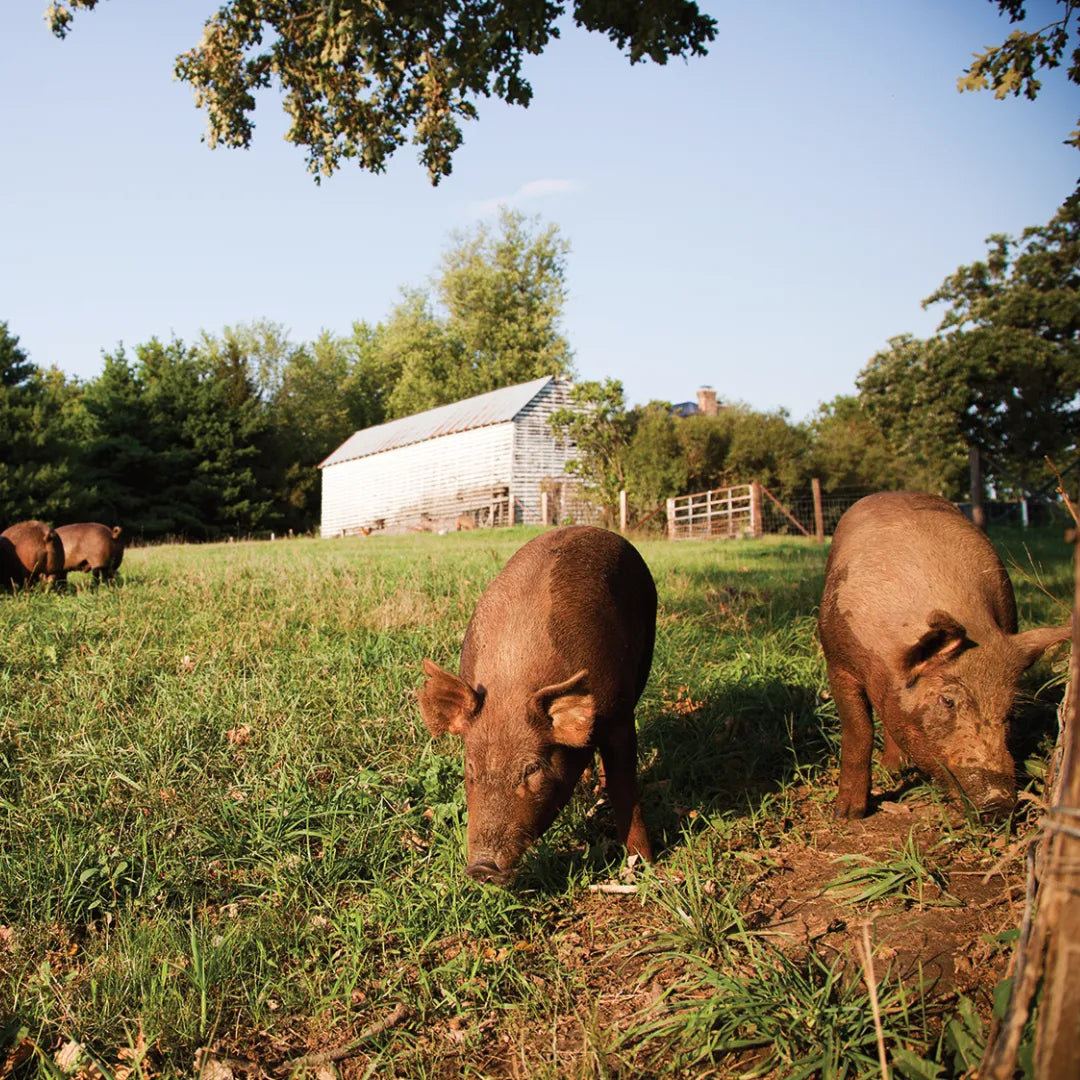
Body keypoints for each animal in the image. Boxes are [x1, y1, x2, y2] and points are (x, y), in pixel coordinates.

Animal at [419, 524, 656, 885]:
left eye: (532, 769)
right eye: (471, 768)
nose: (481, 868)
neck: (513, 681)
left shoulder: (619, 714)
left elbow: (624, 785)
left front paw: (645, 868)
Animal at [816, 492, 1071, 816]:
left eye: (1009, 709)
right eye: (947, 700)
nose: (999, 800)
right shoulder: (838, 661)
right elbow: (859, 732)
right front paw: (848, 815)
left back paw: (896, 768)